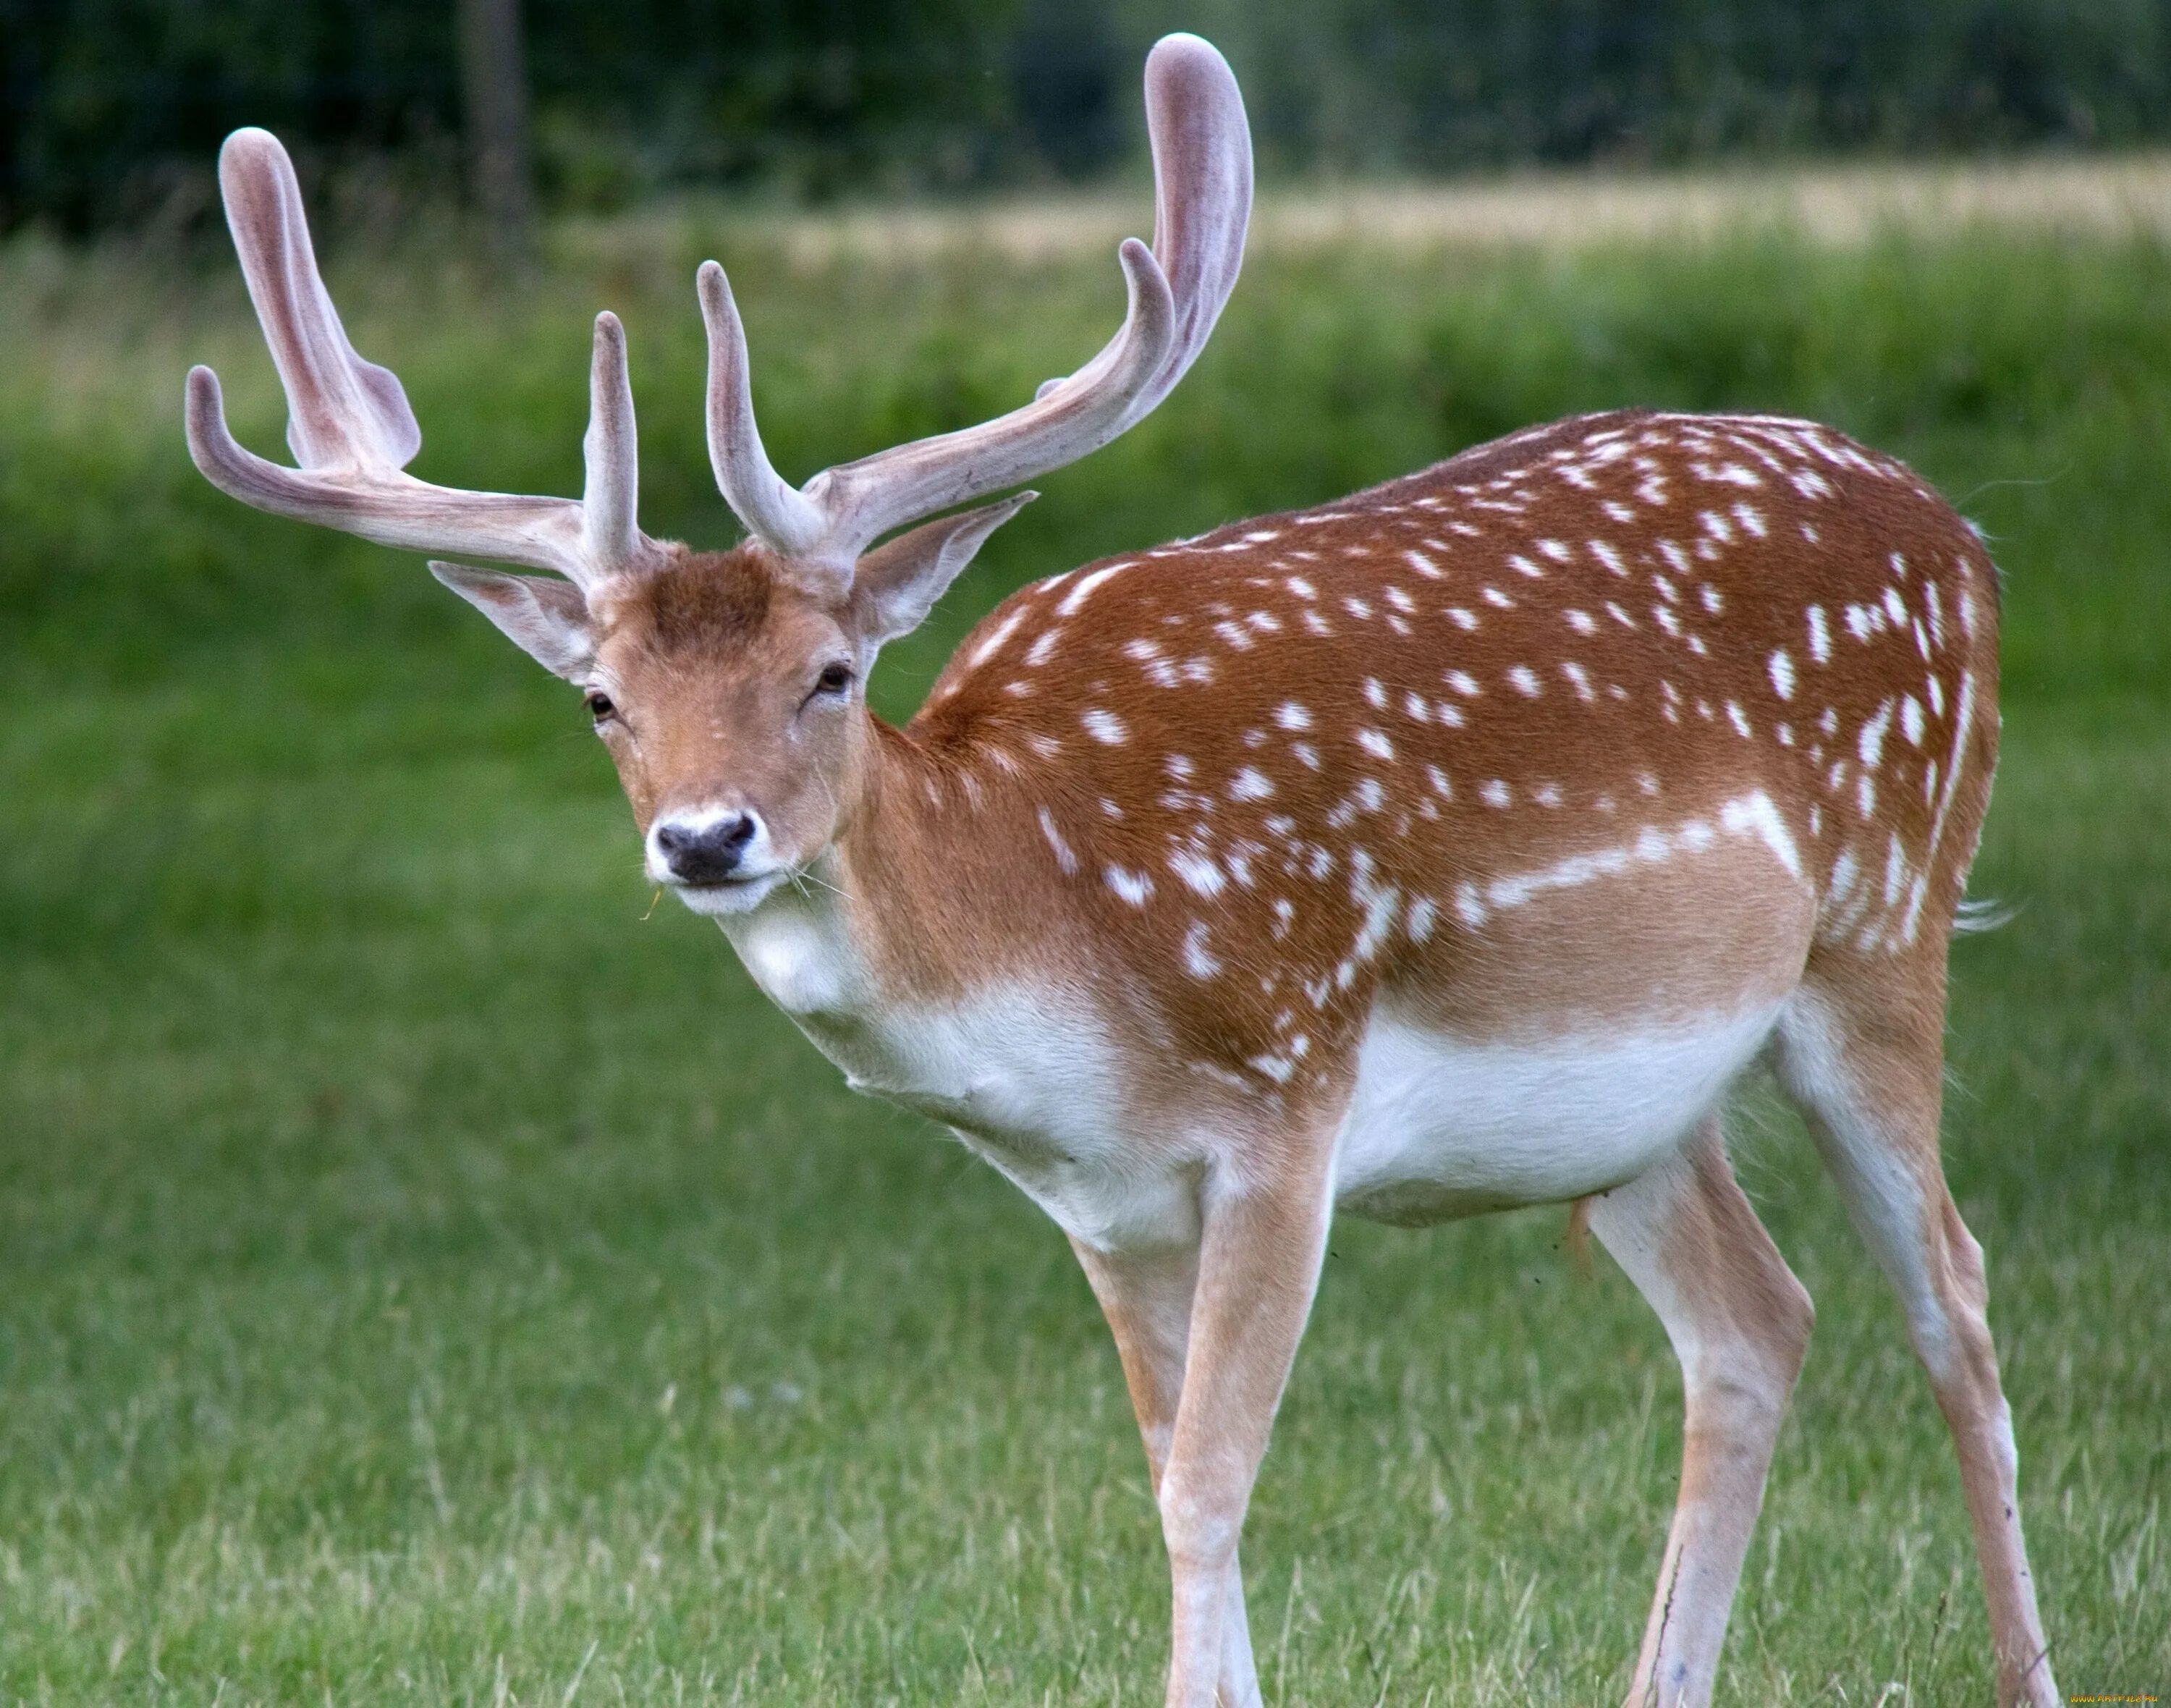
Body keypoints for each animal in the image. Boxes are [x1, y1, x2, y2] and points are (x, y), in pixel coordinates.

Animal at [182, 33, 2049, 1708]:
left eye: (831, 674)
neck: (1058, 928)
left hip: (1883, 929)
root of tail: (1962, 533)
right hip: (1636, 1103)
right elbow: (1164, 1479)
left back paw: (2023, 1663)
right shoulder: (1101, 1199)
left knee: (1952, 1299)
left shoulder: (1289, 1098)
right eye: (600, 700)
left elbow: (1206, 1485)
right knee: (1754, 1324)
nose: (705, 837)